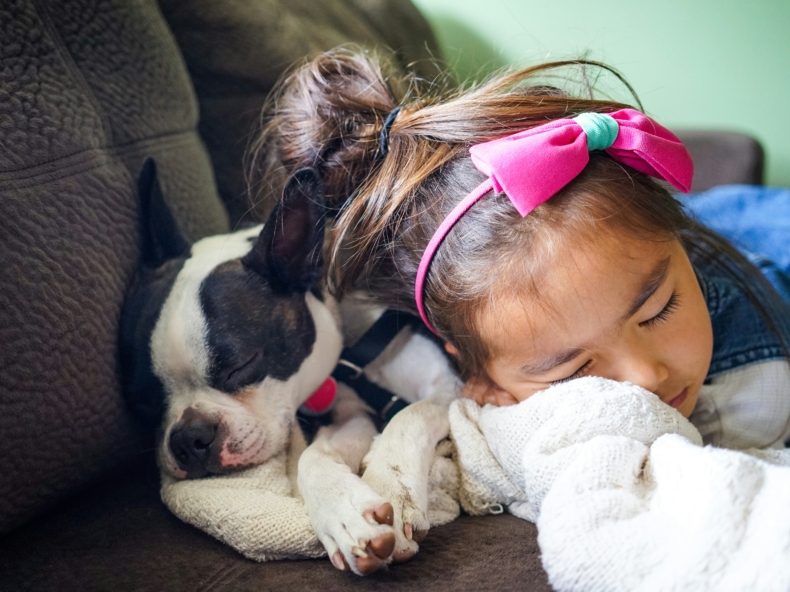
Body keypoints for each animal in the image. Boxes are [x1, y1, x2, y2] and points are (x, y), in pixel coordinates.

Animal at [120, 160, 460, 576]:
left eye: (241, 366)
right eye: (143, 402)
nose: (188, 438)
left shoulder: (450, 384)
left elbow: (409, 416)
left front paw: (391, 486)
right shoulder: (349, 411)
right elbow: (313, 456)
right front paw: (344, 514)